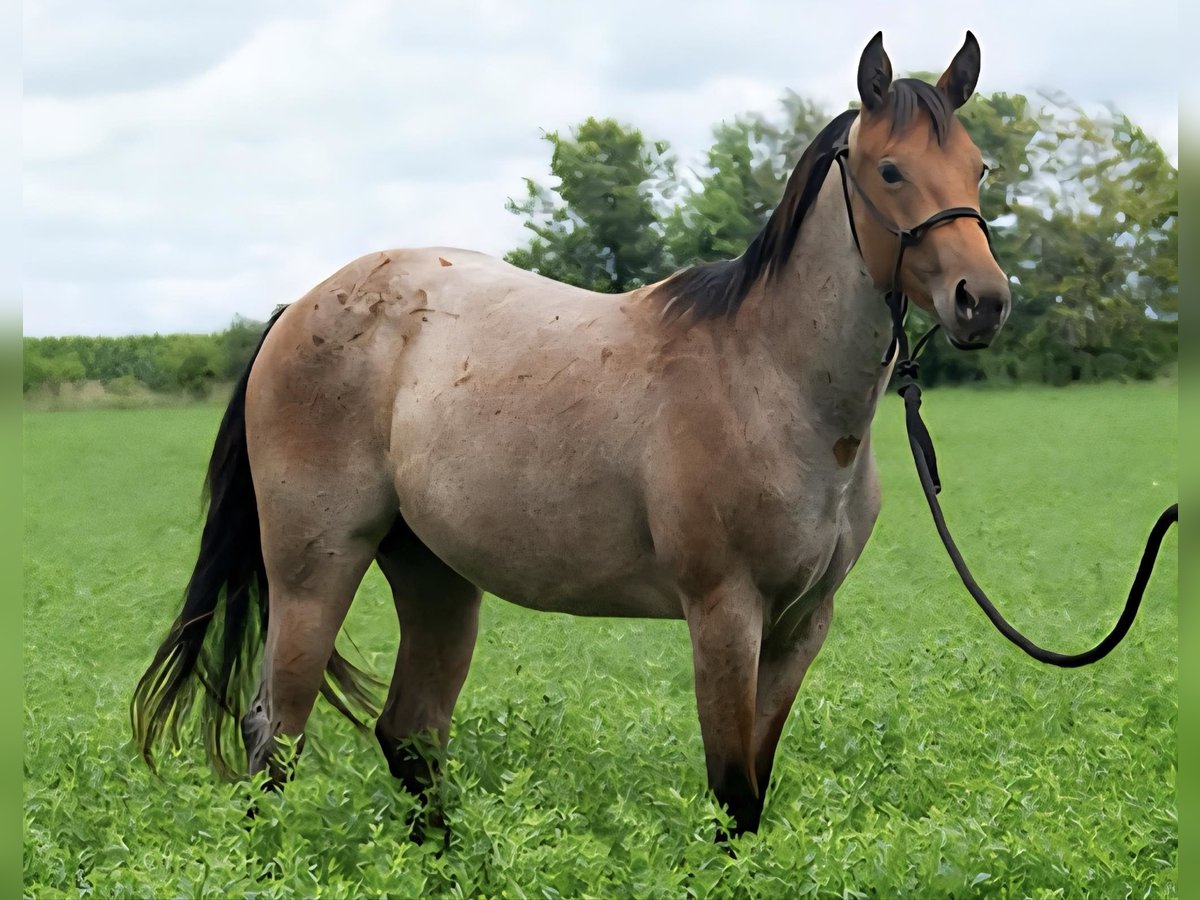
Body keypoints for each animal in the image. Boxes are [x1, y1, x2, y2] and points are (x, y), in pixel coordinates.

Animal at [132, 31, 1010, 840]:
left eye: (978, 168)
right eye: (890, 170)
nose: (985, 300)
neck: (770, 379)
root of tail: (299, 308)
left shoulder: (801, 627)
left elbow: (754, 792)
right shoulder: (725, 614)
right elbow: (731, 791)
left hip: (435, 575)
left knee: (410, 733)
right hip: (314, 572)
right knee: (275, 736)